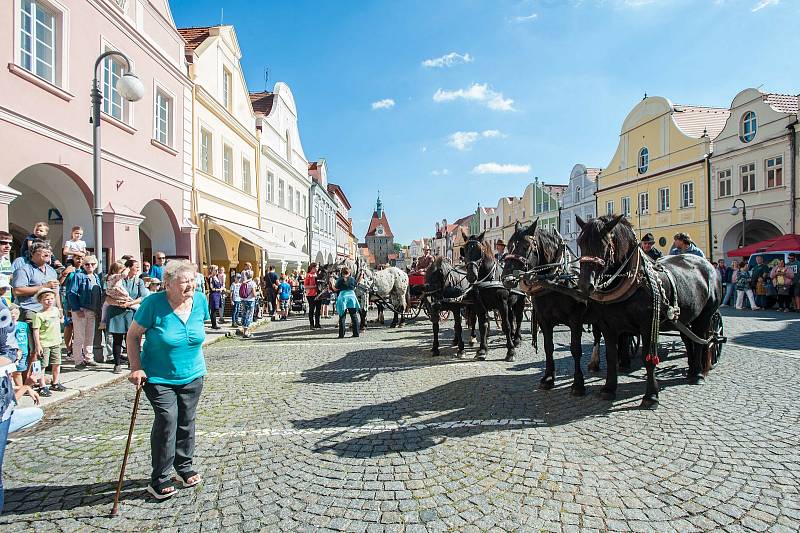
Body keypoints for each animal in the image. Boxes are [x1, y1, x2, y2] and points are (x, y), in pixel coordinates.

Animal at [462, 231, 524, 360]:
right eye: (464, 250)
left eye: (480, 250)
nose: (471, 276)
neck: (488, 278)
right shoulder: (479, 306)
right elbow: (483, 325)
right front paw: (482, 350)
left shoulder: (502, 304)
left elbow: (506, 325)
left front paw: (511, 351)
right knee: (512, 318)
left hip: (521, 300)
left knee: (519, 318)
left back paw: (516, 339)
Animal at [504, 220, 628, 394]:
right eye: (509, 246)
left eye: (525, 246)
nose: (506, 278)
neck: (555, 281)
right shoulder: (544, 320)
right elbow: (548, 347)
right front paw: (548, 378)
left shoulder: (575, 320)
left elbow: (575, 349)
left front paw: (578, 384)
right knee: (599, 335)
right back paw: (596, 363)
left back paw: (622, 360)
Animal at [576, 214, 720, 406]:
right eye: (580, 242)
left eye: (605, 244)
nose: (585, 285)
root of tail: (708, 265)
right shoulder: (608, 325)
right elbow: (611, 356)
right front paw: (609, 389)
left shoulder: (648, 325)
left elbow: (648, 358)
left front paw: (651, 396)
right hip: (685, 318)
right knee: (689, 340)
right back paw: (691, 370)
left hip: (704, 316)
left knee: (700, 341)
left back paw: (697, 374)